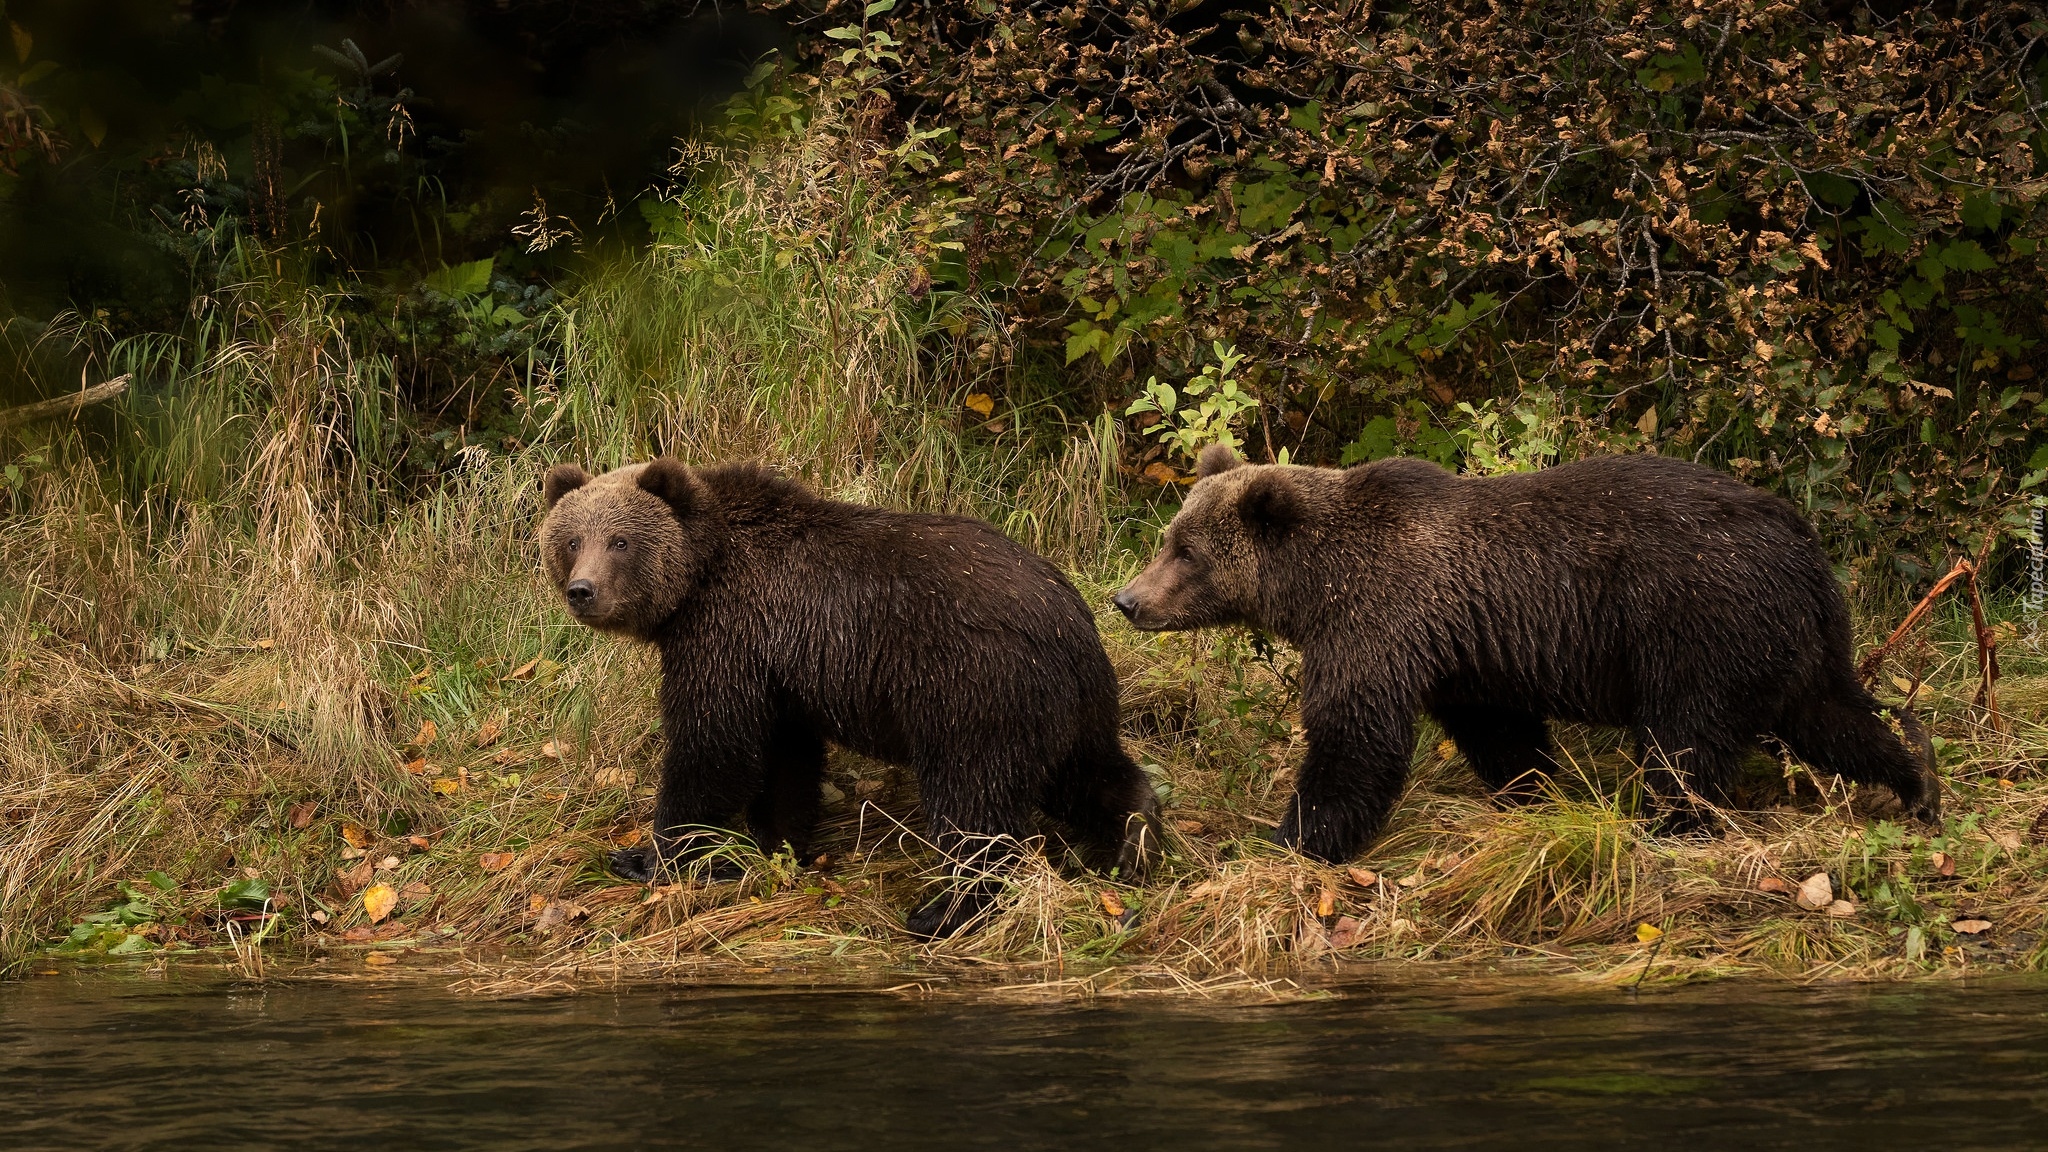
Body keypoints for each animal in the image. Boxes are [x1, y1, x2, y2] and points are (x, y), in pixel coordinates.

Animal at [536, 455, 1163, 934]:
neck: (698, 579)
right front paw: (776, 842)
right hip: (1060, 707)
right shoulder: (781, 668)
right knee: (1084, 773)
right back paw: (1134, 842)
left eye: (620, 541)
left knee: (974, 807)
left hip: (973, 692)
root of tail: (1071, 618)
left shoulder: (728, 635)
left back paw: (943, 911)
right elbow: (785, 758)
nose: (582, 591)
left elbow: (713, 748)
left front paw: (645, 854)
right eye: (571, 539)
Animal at [1122, 444, 1933, 856]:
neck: (1316, 585)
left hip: (1696, 623)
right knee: (1830, 717)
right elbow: (1500, 732)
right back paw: (1916, 782)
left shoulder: (1378, 620)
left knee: (1685, 740)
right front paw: (1532, 789)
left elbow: (1356, 738)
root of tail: (1804, 543)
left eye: (1187, 551)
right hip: (1785, 640)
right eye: (1170, 536)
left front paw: (1295, 837)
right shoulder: (1463, 651)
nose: (1129, 599)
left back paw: (1668, 822)